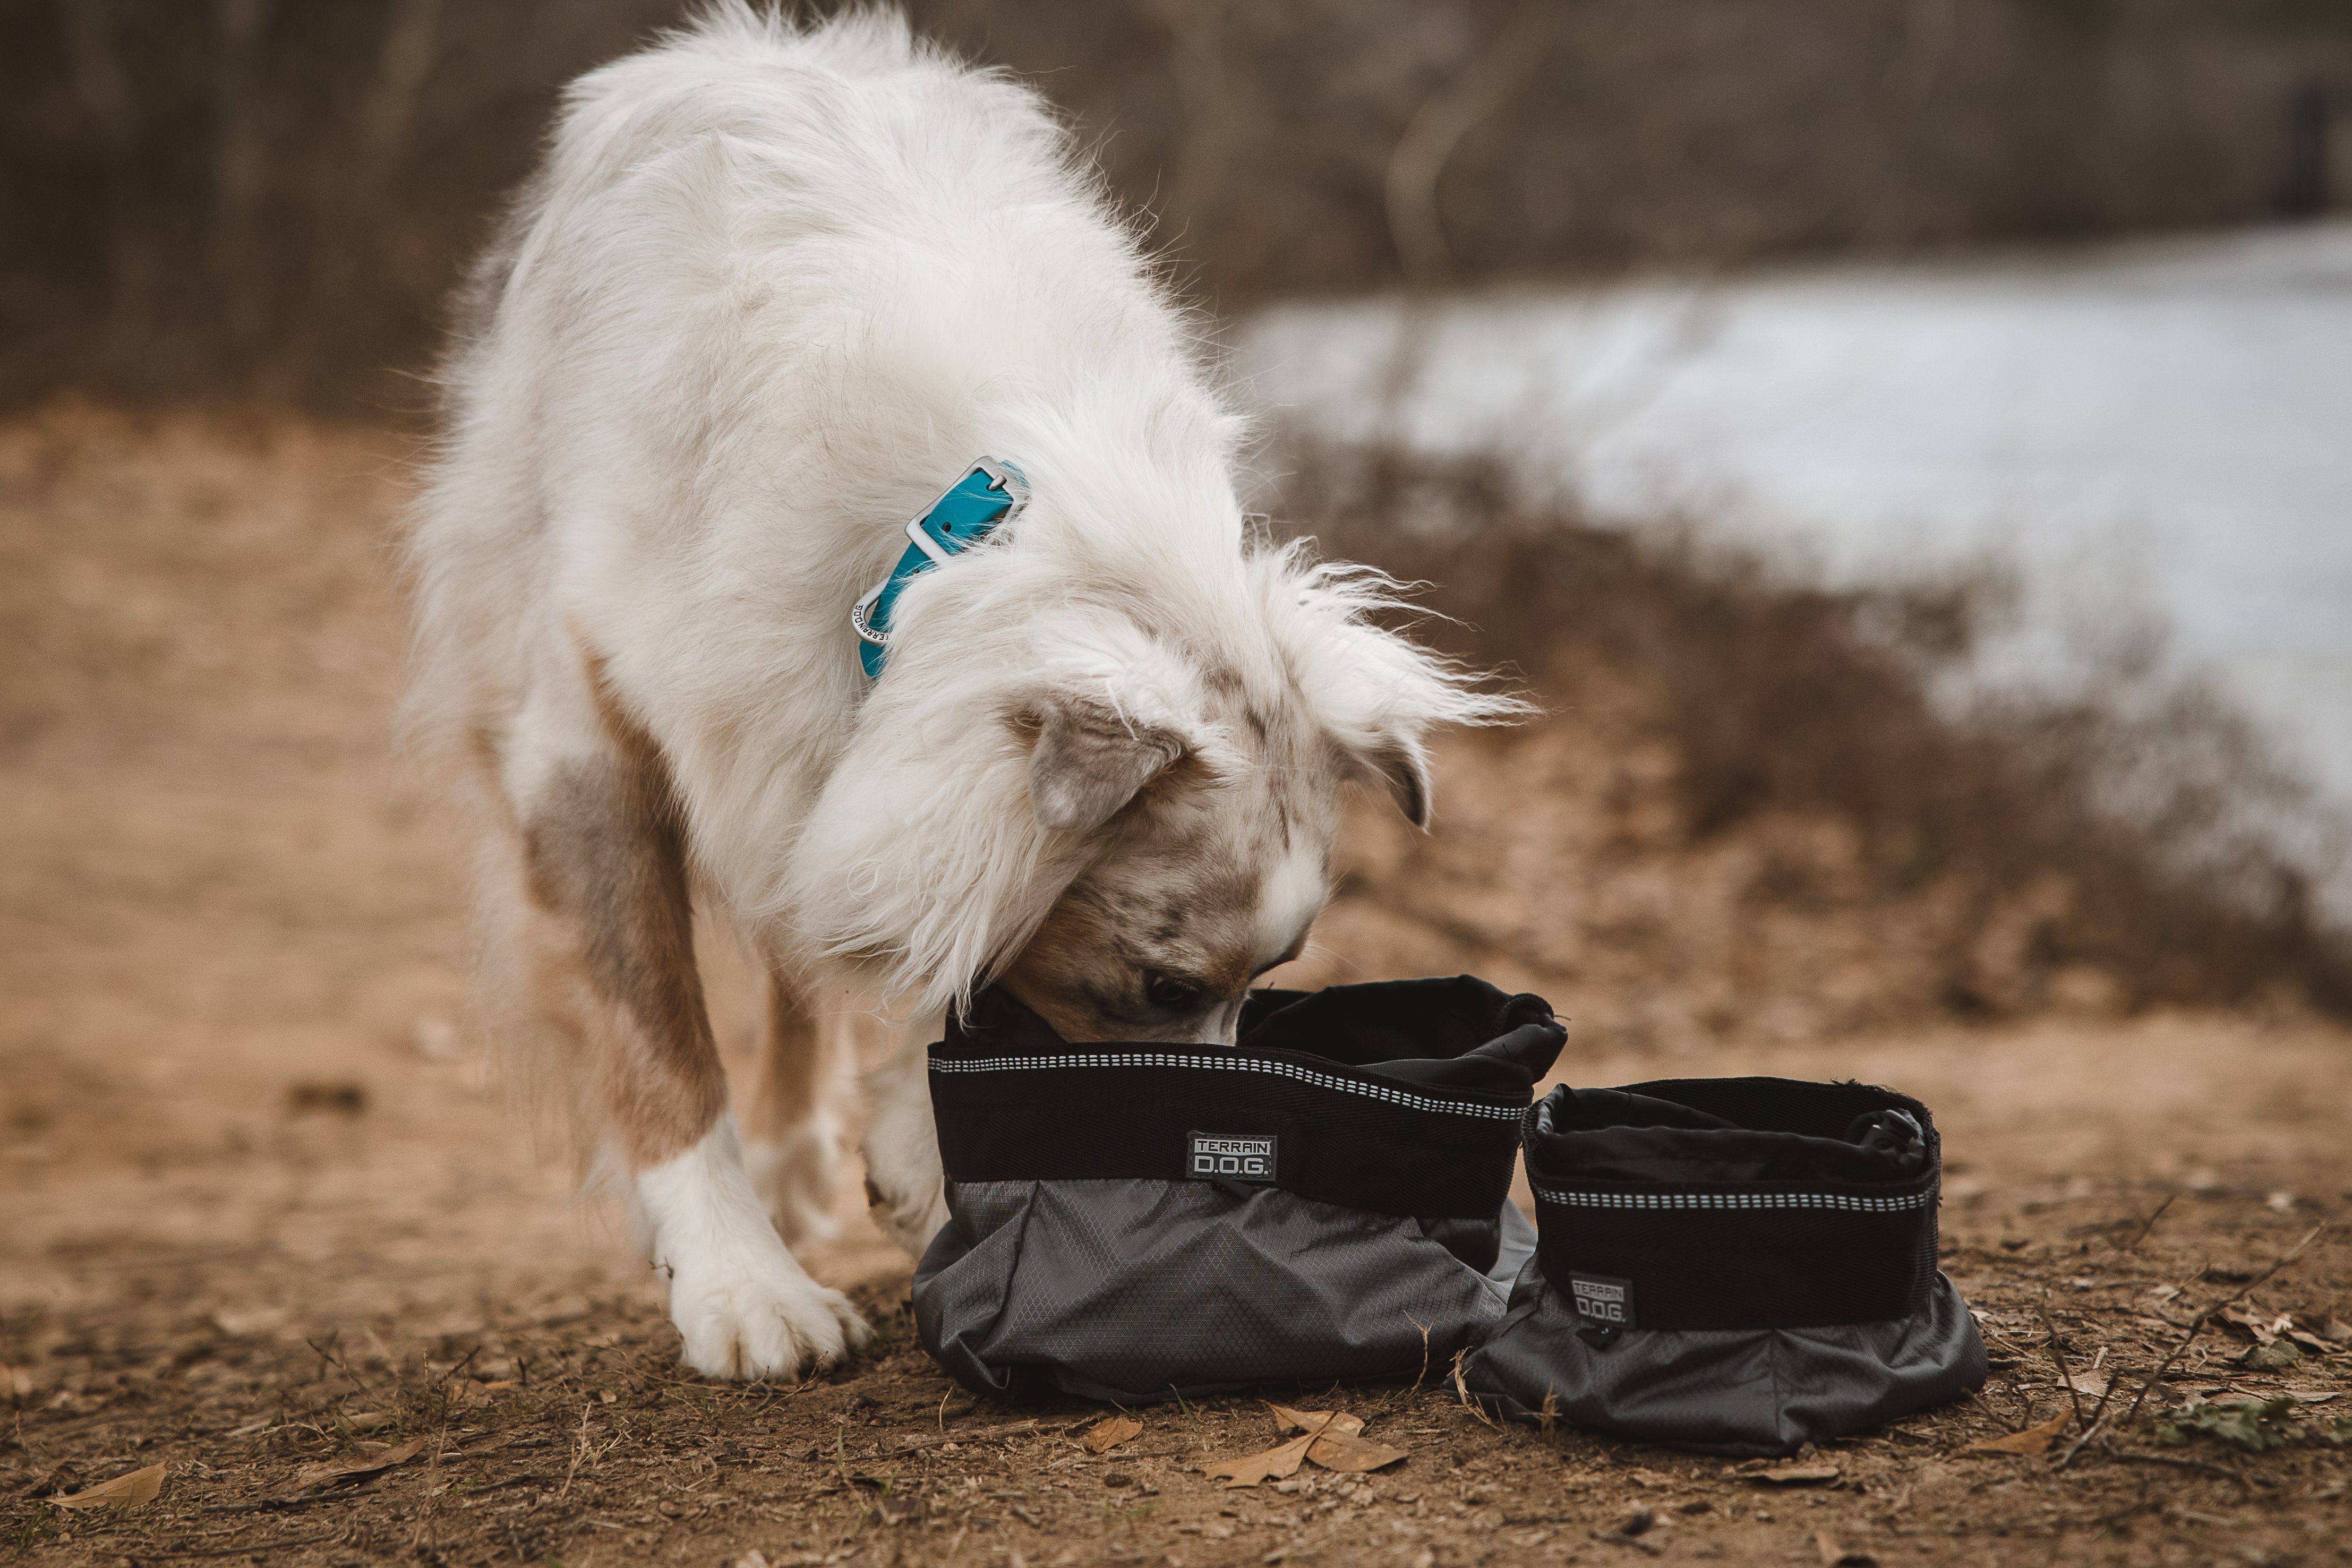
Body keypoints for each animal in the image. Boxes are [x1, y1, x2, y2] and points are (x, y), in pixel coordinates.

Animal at [404, 3, 1505, 1382]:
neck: (970, 516)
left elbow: (934, 927)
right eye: (1163, 989)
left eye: (1274, 976)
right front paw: (739, 1280)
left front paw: (916, 1147)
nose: (1206, 1196)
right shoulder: (586, 736)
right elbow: (660, 1033)